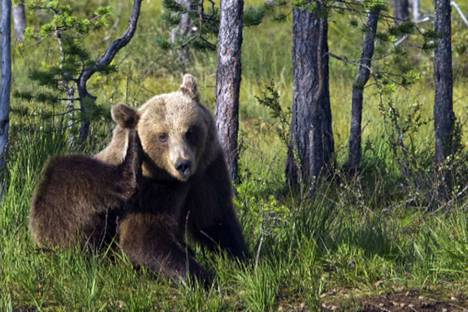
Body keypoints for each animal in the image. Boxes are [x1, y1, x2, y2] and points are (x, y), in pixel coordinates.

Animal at [95, 74, 249, 284]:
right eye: (162, 136)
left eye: (189, 131)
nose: (183, 164)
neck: (173, 181)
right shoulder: (145, 193)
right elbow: (144, 237)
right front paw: (202, 276)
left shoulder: (205, 173)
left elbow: (214, 218)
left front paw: (244, 258)